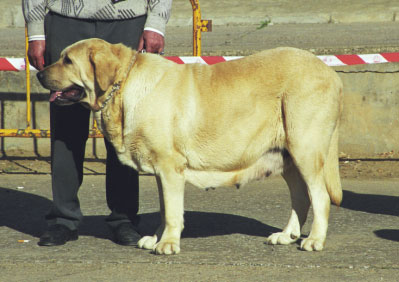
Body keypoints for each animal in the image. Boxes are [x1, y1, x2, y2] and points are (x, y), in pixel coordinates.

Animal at [36, 38, 344, 256]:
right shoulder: (161, 172)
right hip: (287, 156)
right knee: (301, 197)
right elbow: (164, 209)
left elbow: (173, 212)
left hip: (304, 149)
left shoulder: (170, 168)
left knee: (320, 197)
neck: (123, 87)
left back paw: (315, 239)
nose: (38, 73)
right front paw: (157, 238)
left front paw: (168, 243)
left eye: (67, 60)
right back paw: (287, 235)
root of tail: (331, 73)